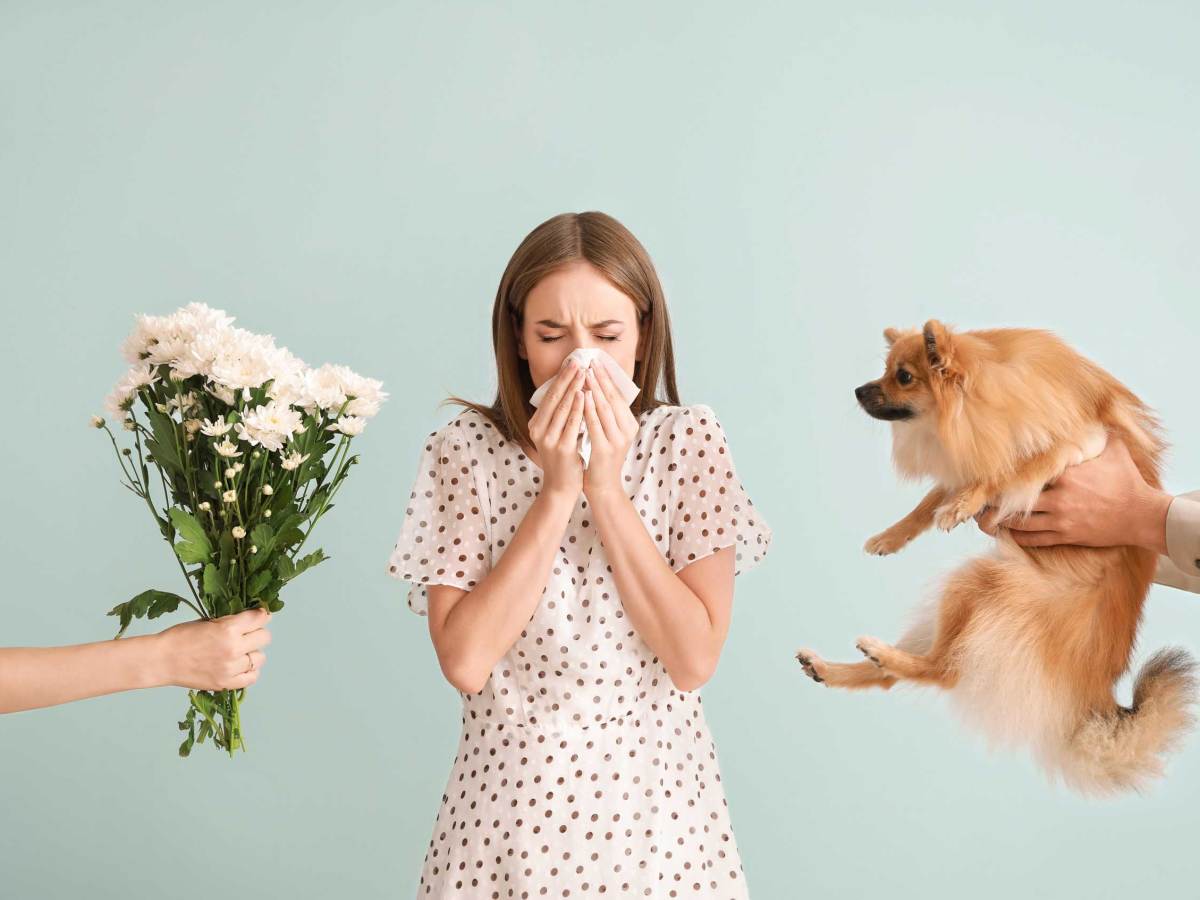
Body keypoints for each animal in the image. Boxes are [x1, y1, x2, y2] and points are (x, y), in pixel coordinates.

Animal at [801, 321, 1195, 796]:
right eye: (884, 369)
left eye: (904, 377)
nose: (859, 390)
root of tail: (1095, 695)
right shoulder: (969, 456)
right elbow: (929, 502)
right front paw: (893, 535)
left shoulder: (1079, 443)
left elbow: (1011, 469)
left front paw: (963, 503)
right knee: (902, 675)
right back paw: (831, 668)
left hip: (981, 583)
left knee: (945, 671)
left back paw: (881, 654)